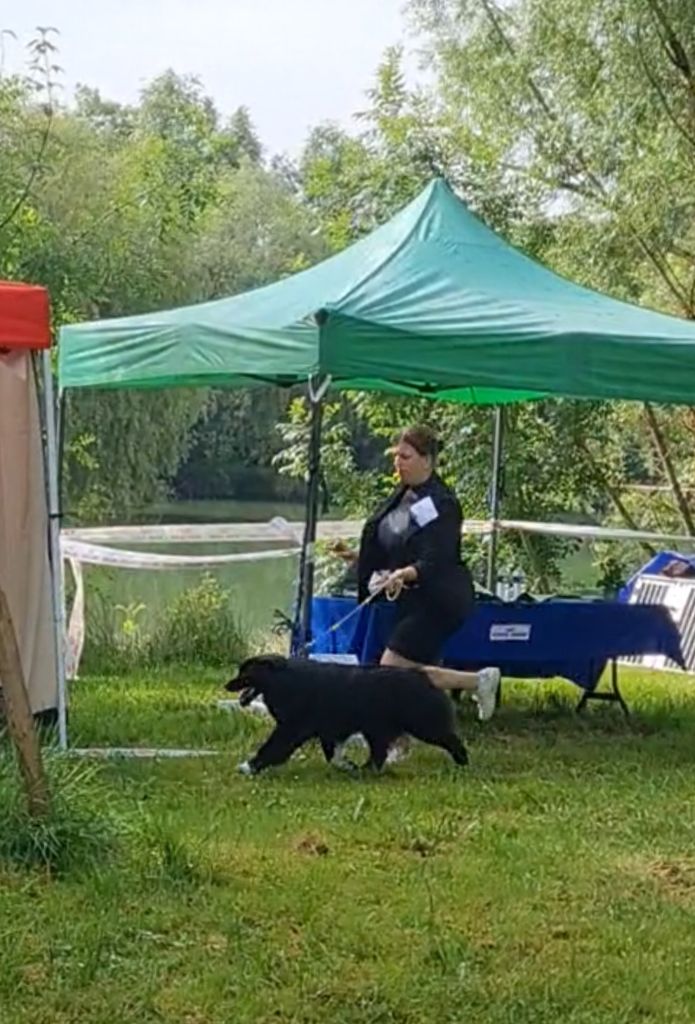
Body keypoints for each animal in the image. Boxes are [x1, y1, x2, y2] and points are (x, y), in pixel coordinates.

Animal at [225, 655, 469, 776]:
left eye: (245, 672)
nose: (227, 685)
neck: (283, 680)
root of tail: (424, 676)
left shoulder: (292, 729)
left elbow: (271, 748)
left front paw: (248, 767)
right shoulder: (327, 730)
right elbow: (332, 755)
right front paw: (346, 765)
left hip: (423, 725)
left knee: (452, 739)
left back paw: (463, 763)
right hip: (377, 729)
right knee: (378, 754)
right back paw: (365, 770)